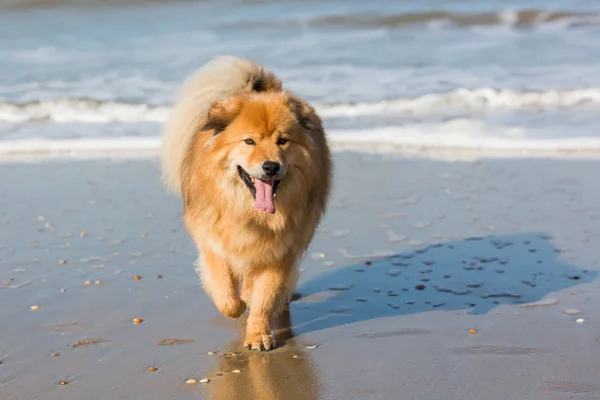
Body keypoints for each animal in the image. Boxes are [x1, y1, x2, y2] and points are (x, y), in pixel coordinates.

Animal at [159, 55, 332, 350]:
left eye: (282, 141)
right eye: (249, 141)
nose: (271, 167)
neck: (249, 213)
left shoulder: (280, 252)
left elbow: (264, 297)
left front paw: (257, 334)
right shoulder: (212, 243)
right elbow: (226, 295)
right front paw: (237, 306)